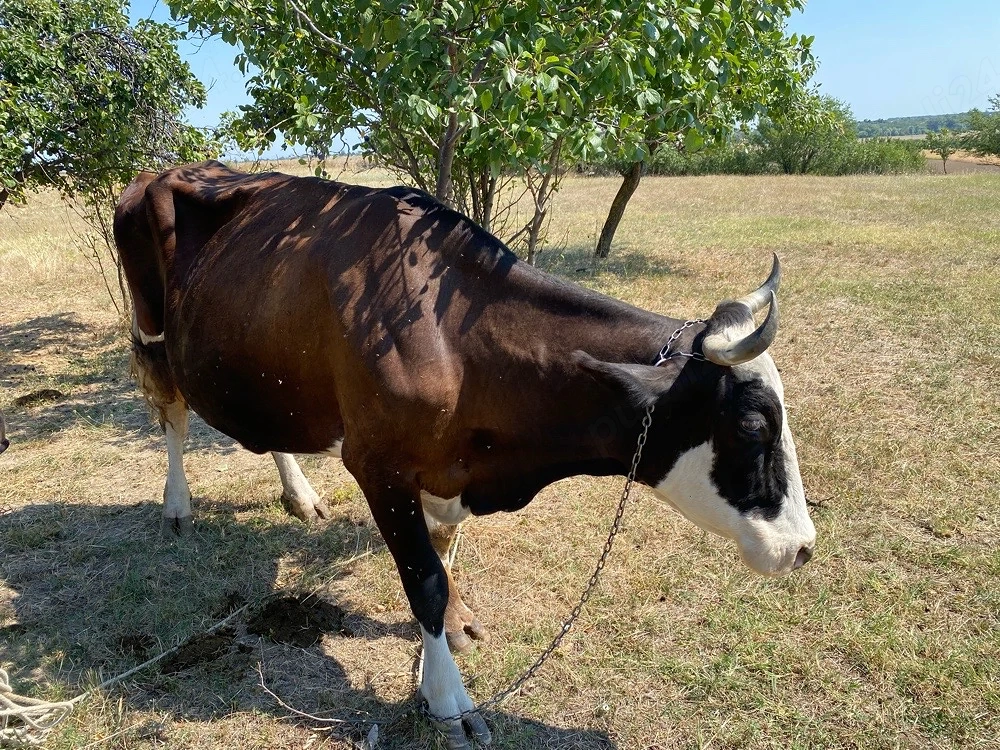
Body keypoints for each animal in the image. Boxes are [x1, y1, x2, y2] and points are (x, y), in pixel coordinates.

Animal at [114, 161, 816, 748]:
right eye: (753, 423)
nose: (803, 547)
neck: (454, 339)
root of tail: (166, 170)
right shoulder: (378, 464)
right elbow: (422, 577)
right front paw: (449, 699)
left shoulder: (450, 468)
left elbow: (443, 558)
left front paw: (449, 635)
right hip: (153, 329)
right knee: (173, 413)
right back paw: (177, 505)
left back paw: (300, 495)